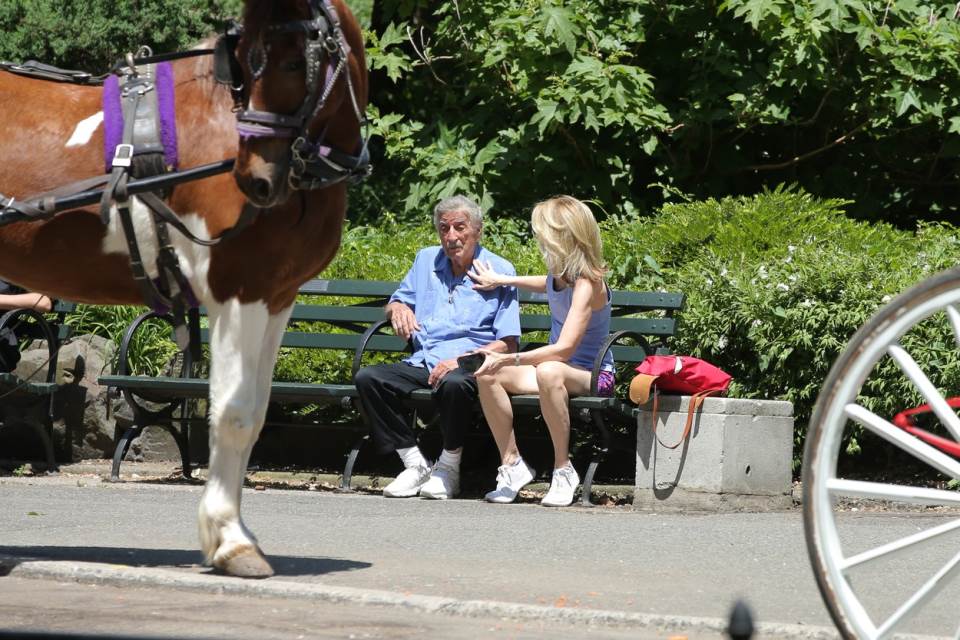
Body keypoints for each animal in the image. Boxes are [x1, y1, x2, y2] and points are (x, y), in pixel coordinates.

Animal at [0, 0, 366, 576]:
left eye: (291, 63)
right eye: (246, 62)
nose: (254, 180)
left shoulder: (277, 297)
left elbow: (256, 412)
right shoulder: (238, 292)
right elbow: (233, 414)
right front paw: (232, 540)